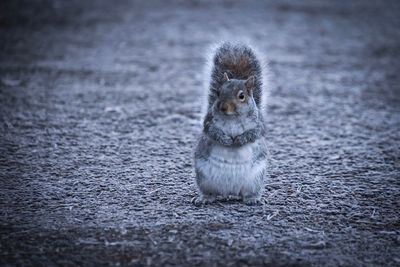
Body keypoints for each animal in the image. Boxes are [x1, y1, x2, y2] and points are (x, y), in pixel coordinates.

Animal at [192, 43, 268, 206]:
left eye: (242, 96)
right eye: (218, 92)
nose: (223, 107)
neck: (232, 118)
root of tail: (229, 192)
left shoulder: (259, 125)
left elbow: (253, 134)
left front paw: (239, 140)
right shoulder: (209, 121)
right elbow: (212, 131)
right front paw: (225, 139)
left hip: (255, 180)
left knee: (247, 194)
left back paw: (253, 199)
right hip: (204, 178)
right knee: (211, 193)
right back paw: (204, 198)